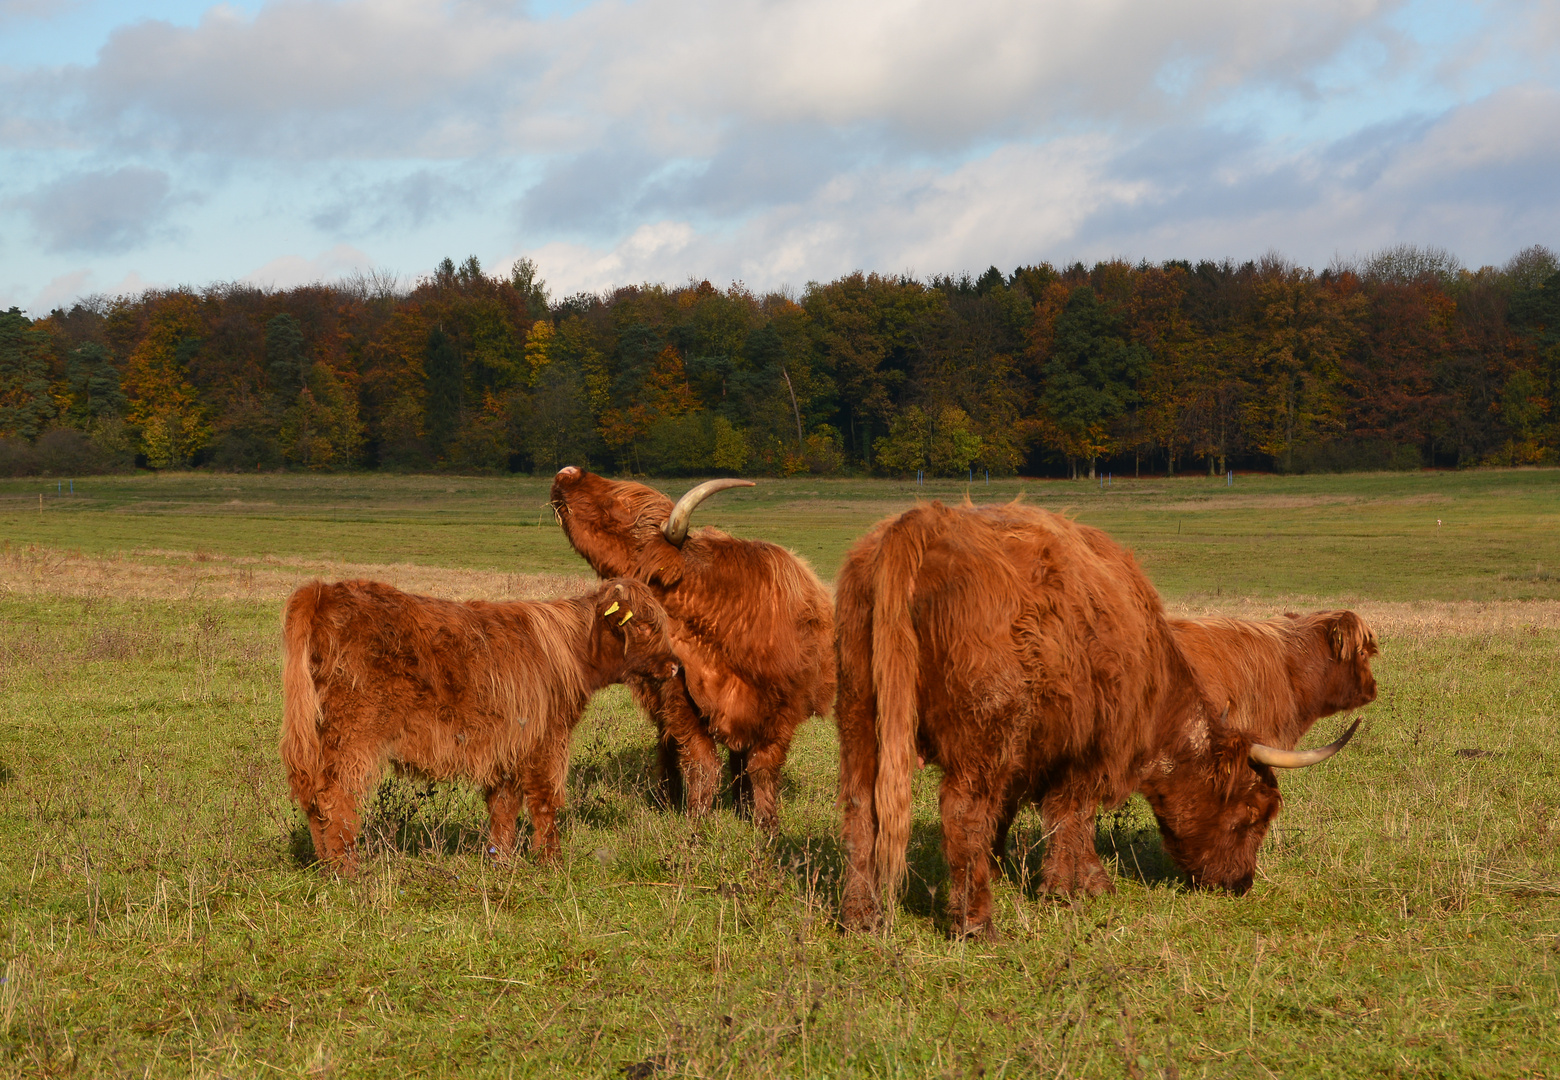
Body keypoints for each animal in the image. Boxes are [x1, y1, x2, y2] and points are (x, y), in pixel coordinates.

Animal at [280, 577, 683, 873]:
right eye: (643, 626)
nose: (675, 665)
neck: (571, 651)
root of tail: (324, 590)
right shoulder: (546, 738)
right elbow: (545, 800)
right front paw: (550, 862)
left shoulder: (506, 743)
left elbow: (504, 805)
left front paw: (501, 861)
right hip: (354, 733)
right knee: (335, 795)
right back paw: (346, 870)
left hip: (318, 734)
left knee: (312, 795)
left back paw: (324, 864)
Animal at [552, 468, 842, 830]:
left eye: (619, 508)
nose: (566, 472)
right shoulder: (679, 698)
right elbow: (701, 761)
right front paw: (697, 818)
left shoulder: (783, 708)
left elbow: (763, 764)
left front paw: (766, 823)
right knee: (668, 746)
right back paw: (667, 798)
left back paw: (741, 807)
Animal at [836, 499, 1360, 936]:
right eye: (1253, 812)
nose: (1240, 884)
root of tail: (924, 522)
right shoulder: (1091, 747)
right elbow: (1072, 817)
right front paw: (1074, 888)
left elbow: (1035, 815)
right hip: (981, 735)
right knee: (961, 812)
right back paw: (975, 922)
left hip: (861, 720)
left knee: (862, 807)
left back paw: (860, 918)